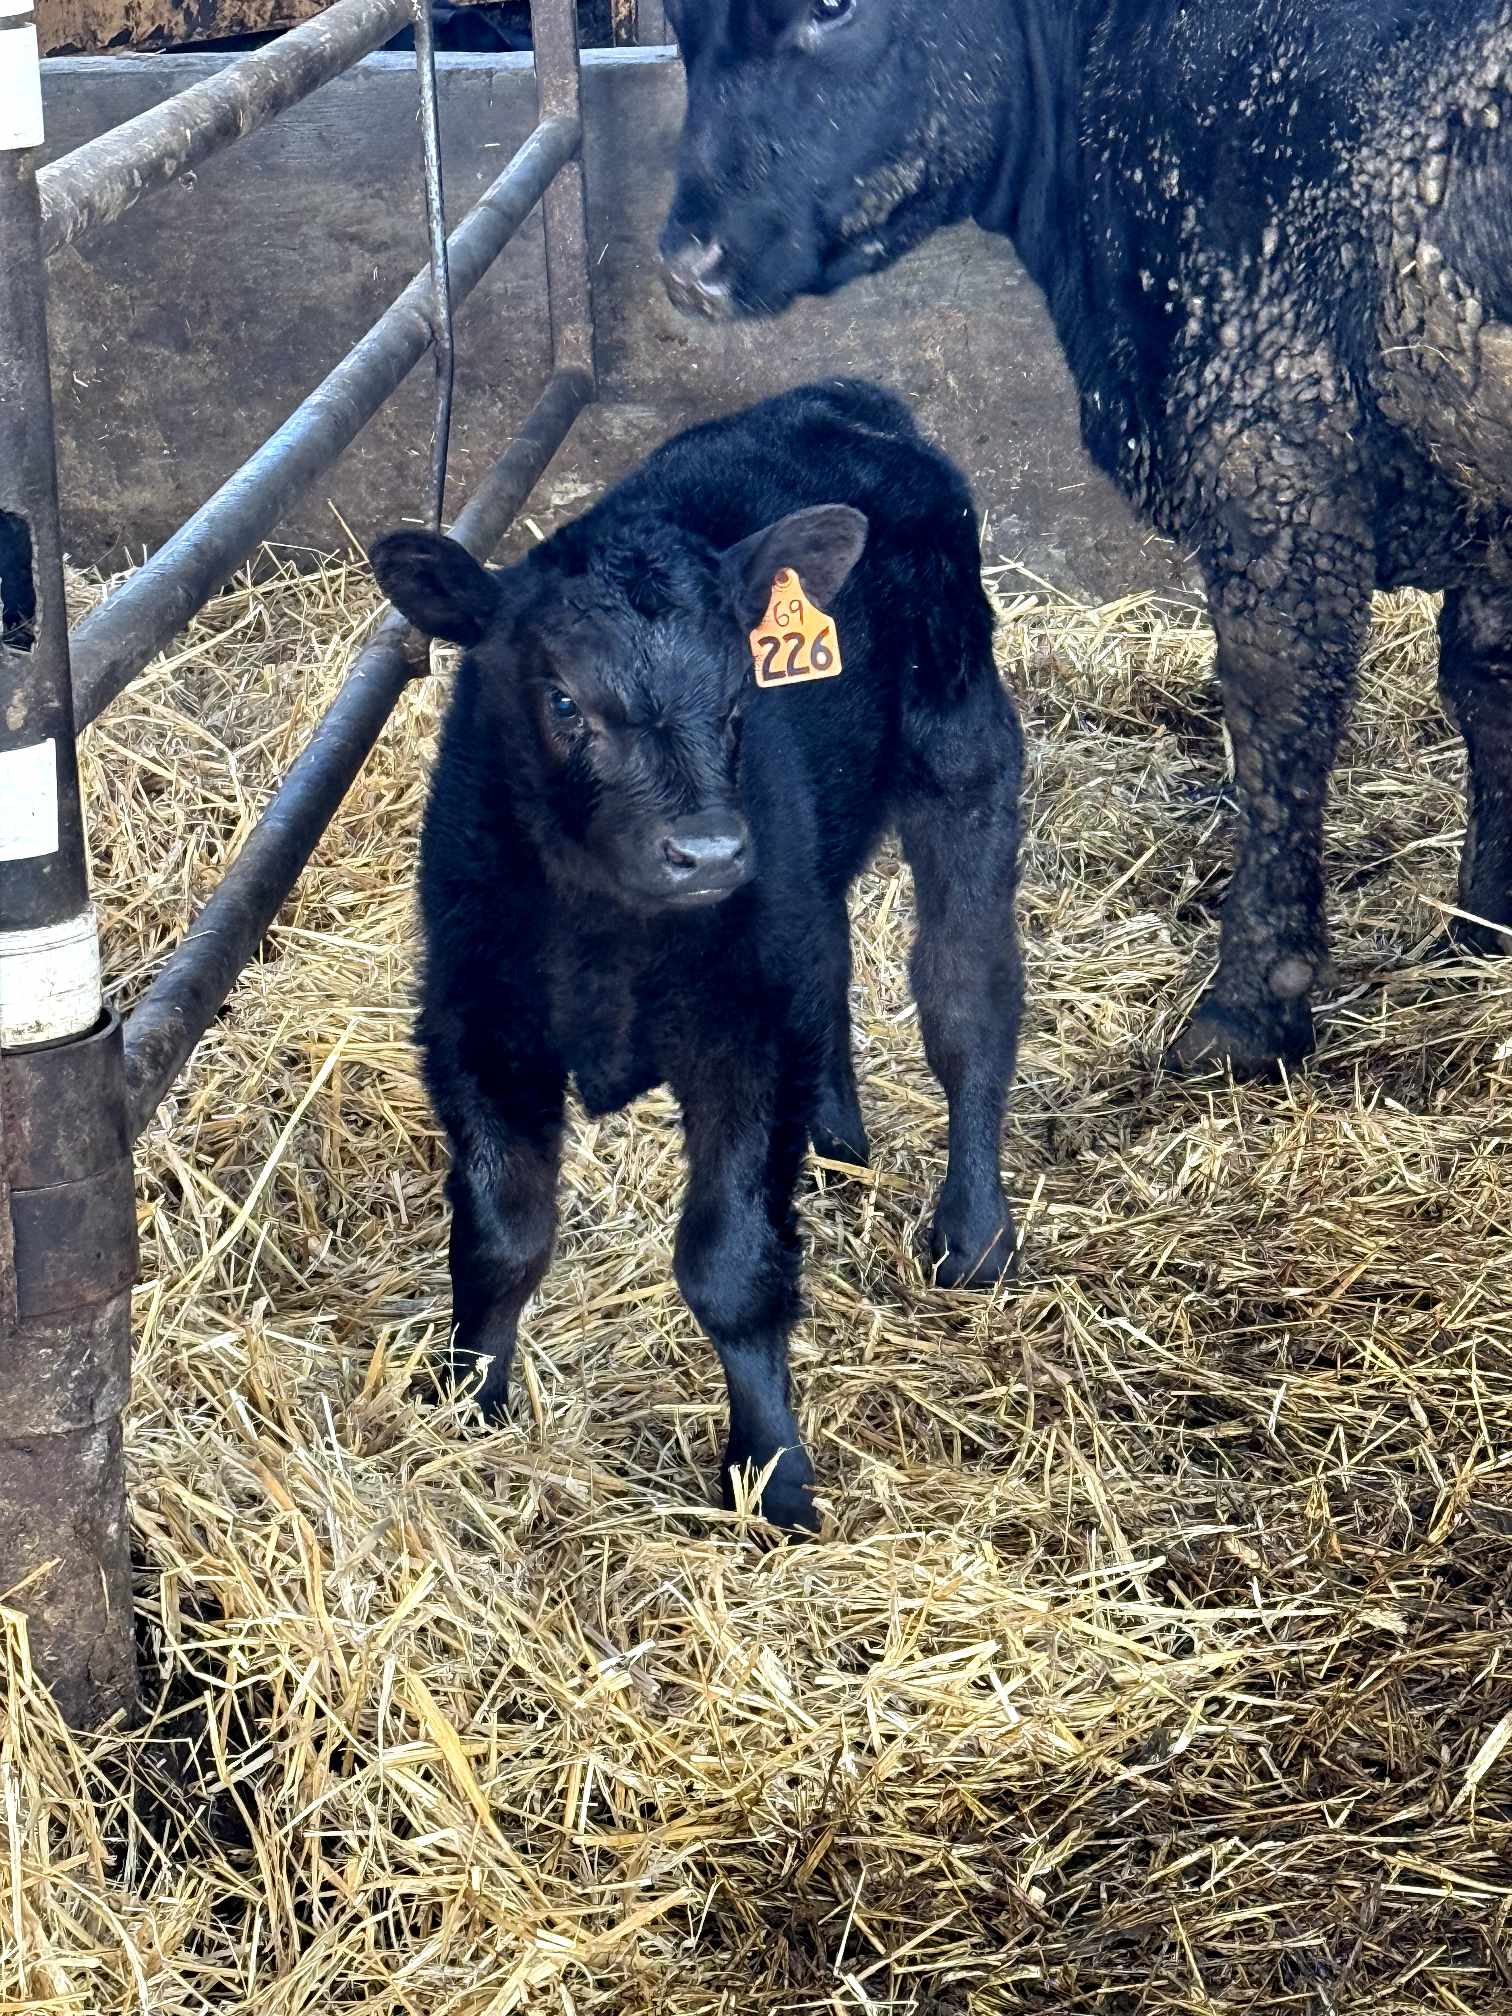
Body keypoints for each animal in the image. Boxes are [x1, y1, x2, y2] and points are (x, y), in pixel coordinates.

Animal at [370, 380, 1023, 1532]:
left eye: (735, 700)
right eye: (563, 699)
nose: (712, 851)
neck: (606, 938)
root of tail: (846, 401)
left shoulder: (740, 1032)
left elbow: (731, 1262)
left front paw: (773, 1474)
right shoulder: (475, 1019)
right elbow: (502, 1230)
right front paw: (466, 1403)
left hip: (963, 746)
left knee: (965, 999)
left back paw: (974, 1232)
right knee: (833, 956)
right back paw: (840, 1143)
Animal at [657, 0, 1512, 1079]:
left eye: (834, 8)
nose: (689, 264)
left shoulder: (1272, 453)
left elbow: (1279, 731)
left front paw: (1252, 1008)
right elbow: (1486, 685)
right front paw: (1485, 920)